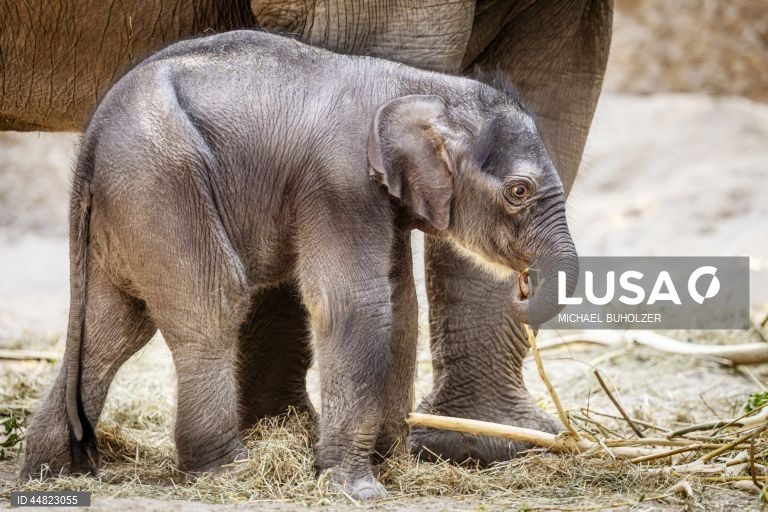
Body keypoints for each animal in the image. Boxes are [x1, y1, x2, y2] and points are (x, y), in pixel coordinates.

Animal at [2, 1, 613, 464]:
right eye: (519, 191)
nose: (526, 287)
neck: (420, 87)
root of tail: (89, 145)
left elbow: (398, 302)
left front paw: (392, 458)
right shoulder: (338, 181)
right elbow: (353, 300)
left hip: (128, 207)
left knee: (114, 324)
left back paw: (52, 468)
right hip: (161, 181)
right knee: (211, 301)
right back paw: (225, 467)